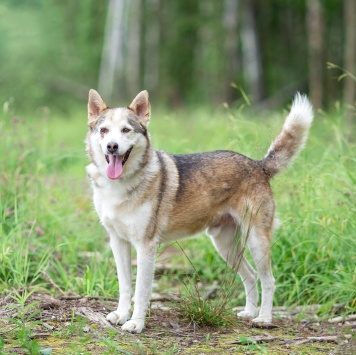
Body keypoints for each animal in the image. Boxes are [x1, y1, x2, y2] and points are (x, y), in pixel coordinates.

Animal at [87, 89, 314, 334]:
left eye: (126, 130)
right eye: (104, 130)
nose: (112, 146)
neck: (120, 186)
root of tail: (258, 165)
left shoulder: (146, 247)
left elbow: (141, 292)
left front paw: (136, 323)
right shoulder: (118, 242)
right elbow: (125, 286)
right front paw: (121, 315)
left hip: (256, 243)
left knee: (268, 280)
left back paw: (263, 318)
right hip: (225, 247)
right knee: (251, 276)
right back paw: (249, 312)